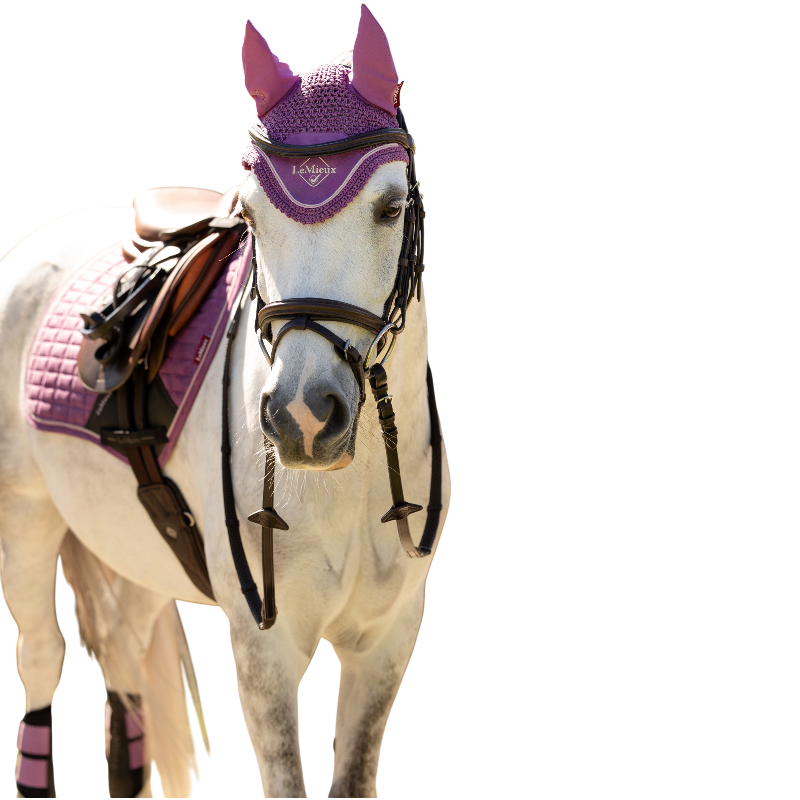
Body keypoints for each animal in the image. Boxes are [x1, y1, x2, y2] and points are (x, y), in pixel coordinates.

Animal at [0, 6, 450, 797]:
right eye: (251, 214)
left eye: (391, 206)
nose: (303, 416)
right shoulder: (266, 653)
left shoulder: (387, 640)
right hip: (22, 527)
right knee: (42, 662)